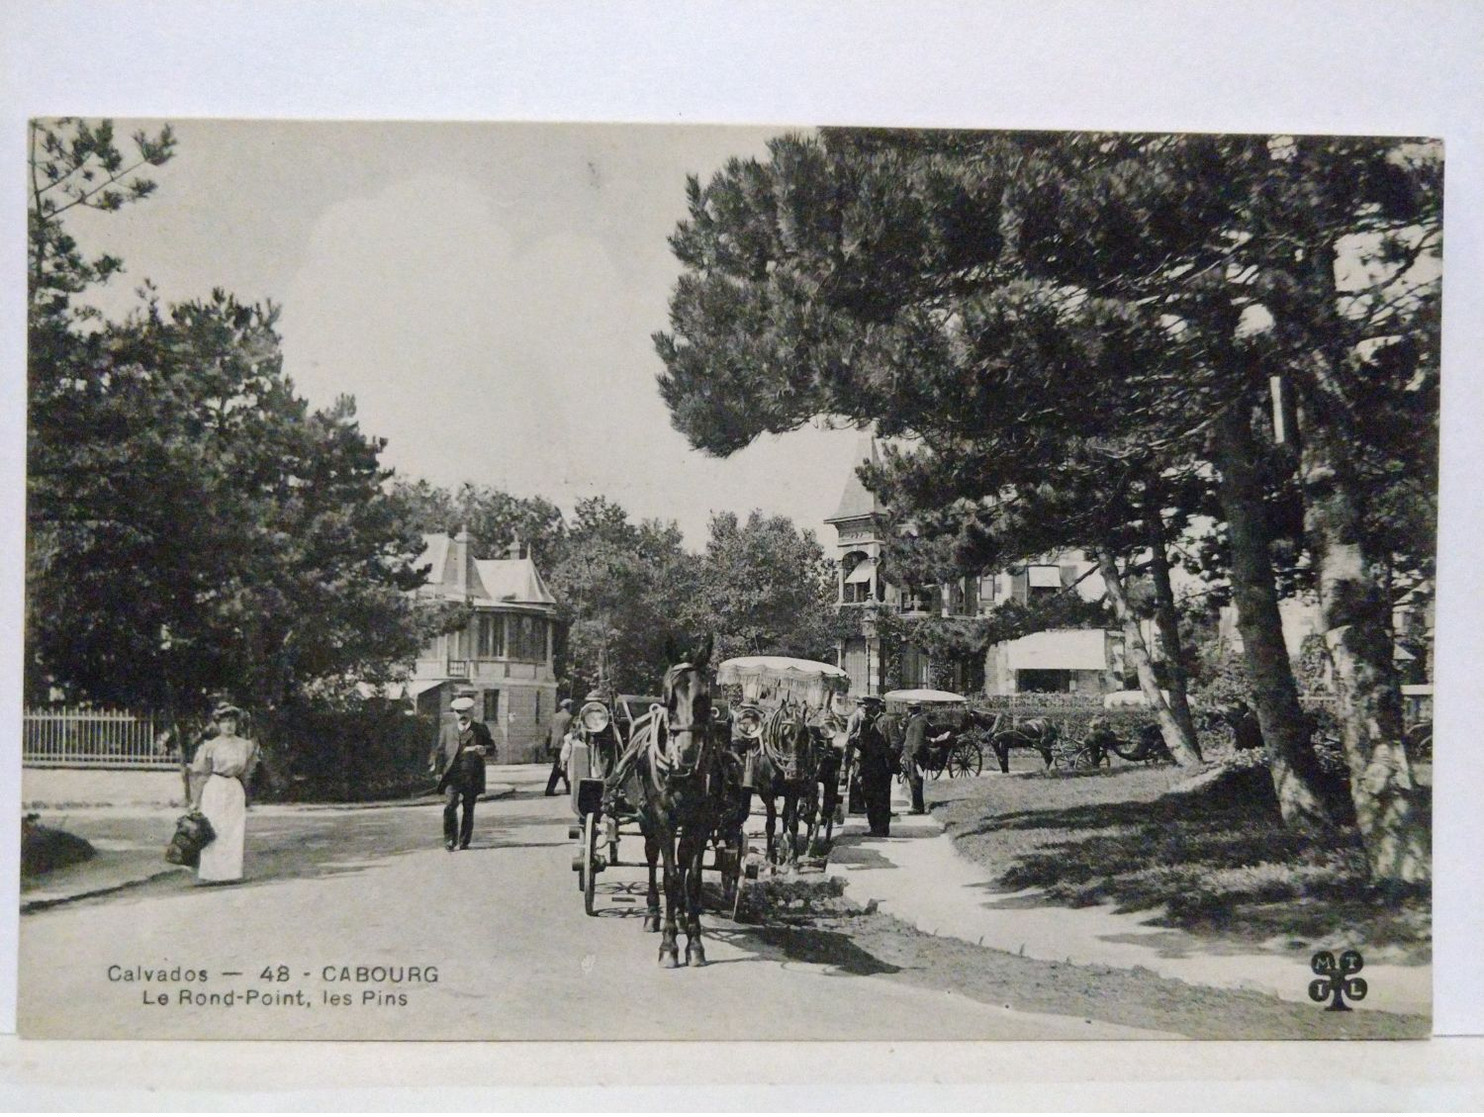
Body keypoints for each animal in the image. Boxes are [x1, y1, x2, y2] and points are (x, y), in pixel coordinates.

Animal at [620, 634, 724, 967]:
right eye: (669, 698)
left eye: (705, 697)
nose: (687, 751)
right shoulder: (663, 817)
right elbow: (670, 876)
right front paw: (669, 945)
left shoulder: (701, 820)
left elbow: (692, 878)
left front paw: (695, 943)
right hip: (646, 818)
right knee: (653, 857)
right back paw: (654, 914)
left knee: (681, 859)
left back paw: (679, 915)